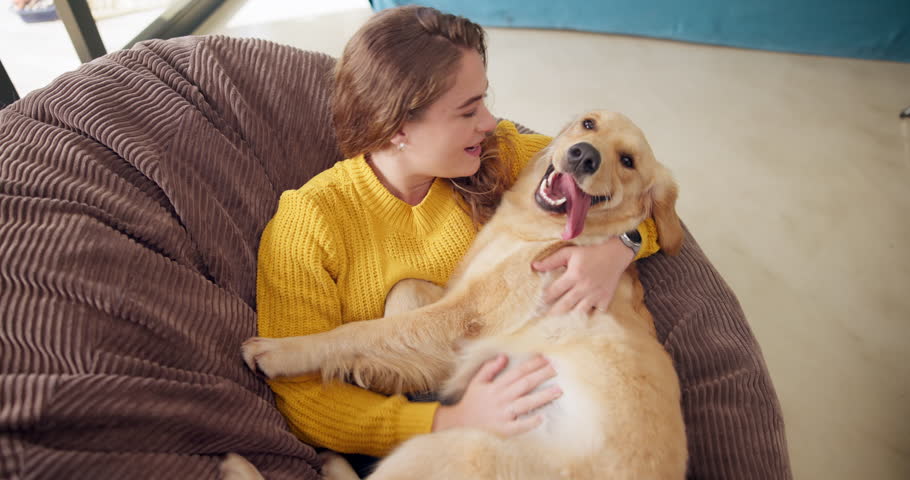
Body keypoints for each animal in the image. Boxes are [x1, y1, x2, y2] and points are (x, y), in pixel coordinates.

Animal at [232, 110, 688, 478]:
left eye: (628, 161)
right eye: (589, 124)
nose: (583, 155)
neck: (536, 232)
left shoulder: (465, 315)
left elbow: (359, 333)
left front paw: (282, 350)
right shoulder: (456, 296)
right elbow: (403, 294)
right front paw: (385, 373)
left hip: (459, 447)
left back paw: (244, 463)